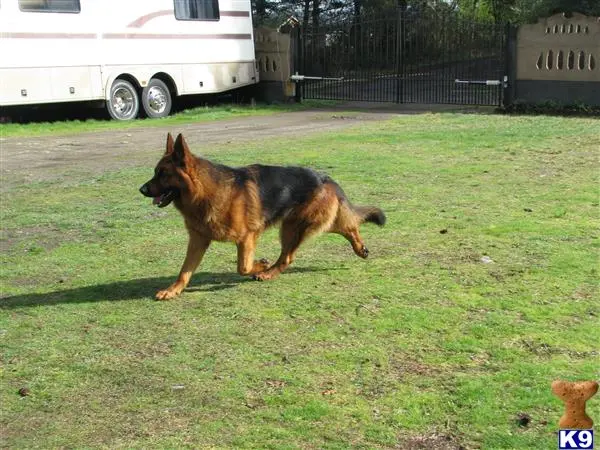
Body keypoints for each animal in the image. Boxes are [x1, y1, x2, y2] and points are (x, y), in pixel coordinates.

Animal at [139, 134, 386, 302]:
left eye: (163, 174)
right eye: (155, 172)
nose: (141, 189)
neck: (206, 192)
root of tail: (325, 178)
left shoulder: (248, 237)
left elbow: (243, 267)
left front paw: (261, 265)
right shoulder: (198, 241)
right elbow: (184, 271)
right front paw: (173, 290)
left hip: (295, 226)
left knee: (289, 257)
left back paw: (268, 273)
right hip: (302, 224)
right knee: (346, 226)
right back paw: (360, 248)